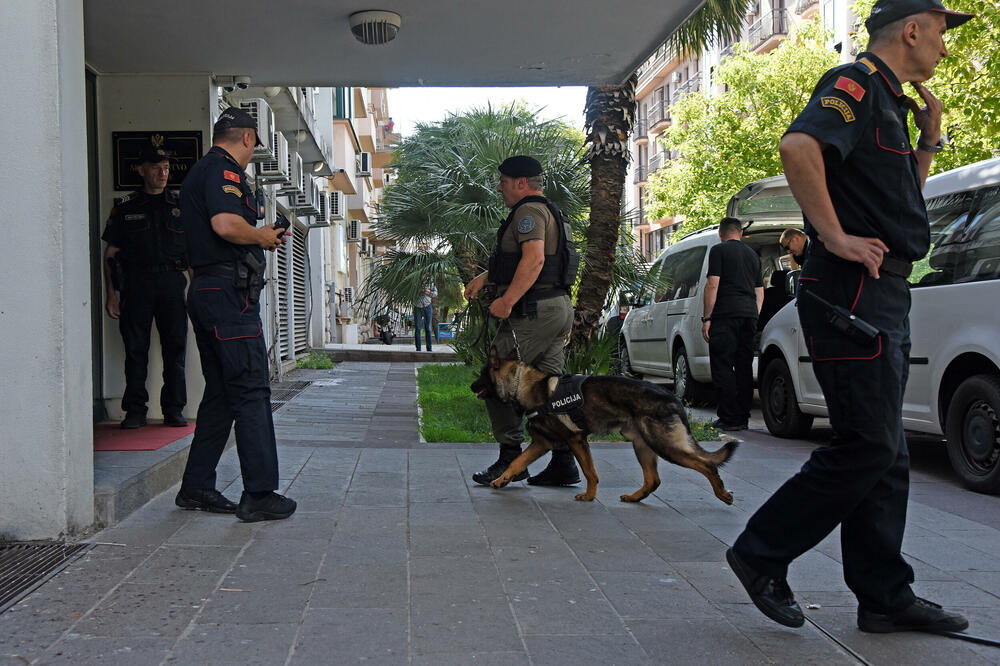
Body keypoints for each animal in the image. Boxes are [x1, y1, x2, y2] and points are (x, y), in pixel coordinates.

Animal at [472, 350, 740, 500]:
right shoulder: (542, 443)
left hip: (663, 445)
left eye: (482, 374)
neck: (524, 385)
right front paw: (502, 479)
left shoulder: (576, 440)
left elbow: (590, 471)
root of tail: (674, 397)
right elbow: (516, 462)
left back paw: (722, 493)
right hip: (642, 445)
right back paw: (634, 498)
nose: (471, 387)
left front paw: (590, 496)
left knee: (706, 465)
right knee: (653, 480)